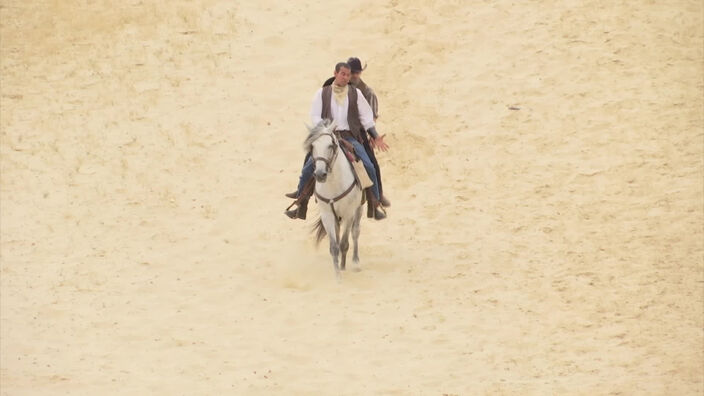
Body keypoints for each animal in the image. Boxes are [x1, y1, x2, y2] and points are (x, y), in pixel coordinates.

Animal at [304, 120, 366, 278]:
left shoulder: (349, 213)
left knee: (355, 232)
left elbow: (344, 242)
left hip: (359, 208)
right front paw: (337, 275)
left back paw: (355, 262)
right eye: (312, 146)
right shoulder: (327, 215)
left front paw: (343, 268)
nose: (320, 174)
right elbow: (334, 246)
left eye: (330, 145)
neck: (333, 183)